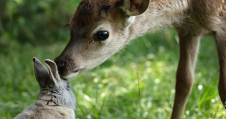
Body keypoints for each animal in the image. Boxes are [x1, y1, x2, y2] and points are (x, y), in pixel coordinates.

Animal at [54, 0, 226, 118]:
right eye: (69, 25)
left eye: (102, 33)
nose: (60, 64)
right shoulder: (189, 29)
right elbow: (184, 82)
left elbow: (222, 87)